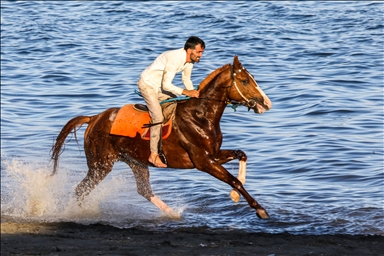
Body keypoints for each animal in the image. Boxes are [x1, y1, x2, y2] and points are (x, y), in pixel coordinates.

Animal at [51, 56, 272, 220]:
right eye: (245, 81)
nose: (266, 103)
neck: (200, 116)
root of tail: (94, 118)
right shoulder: (204, 161)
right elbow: (234, 181)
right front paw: (259, 209)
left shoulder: (214, 155)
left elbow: (241, 155)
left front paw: (235, 196)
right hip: (101, 164)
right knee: (81, 189)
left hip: (136, 162)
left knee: (144, 190)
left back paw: (173, 213)